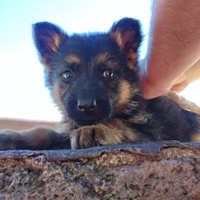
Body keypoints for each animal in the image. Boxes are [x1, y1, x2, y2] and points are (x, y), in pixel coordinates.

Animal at [0, 18, 200, 149]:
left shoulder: (152, 132)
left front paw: (96, 129)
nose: (86, 105)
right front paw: (13, 136)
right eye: (67, 75)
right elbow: (44, 132)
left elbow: (121, 126)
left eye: (108, 73)